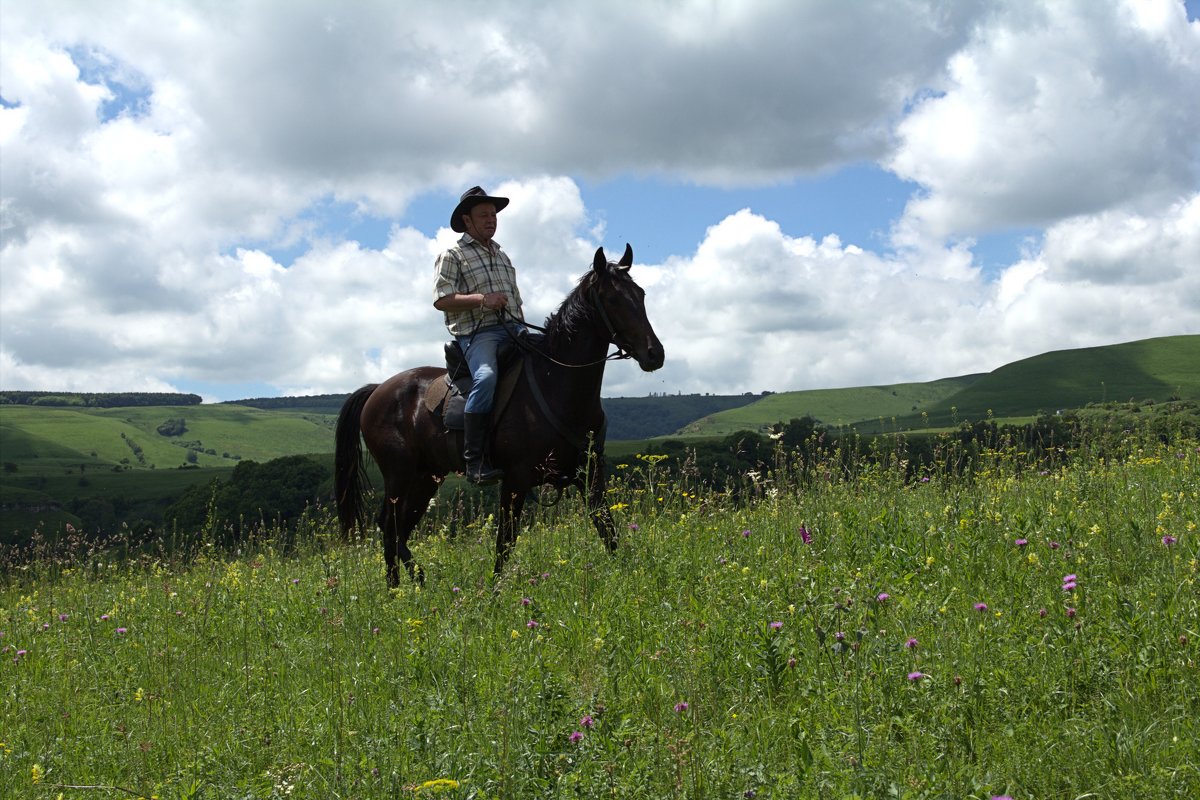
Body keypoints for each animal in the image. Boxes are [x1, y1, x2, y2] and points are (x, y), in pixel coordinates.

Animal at [333, 241, 662, 585]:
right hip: (399, 474)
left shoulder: (590, 475)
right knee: (389, 525)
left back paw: (411, 586)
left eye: (640, 294)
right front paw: (494, 592)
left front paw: (628, 577)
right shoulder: (515, 480)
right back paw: (404, 587)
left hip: (426, 476)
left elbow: (607, 529)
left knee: (398, 527)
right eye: (612, 299)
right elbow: (504, 542)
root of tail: (378, 390)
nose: (655, 353)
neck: (557, 383)